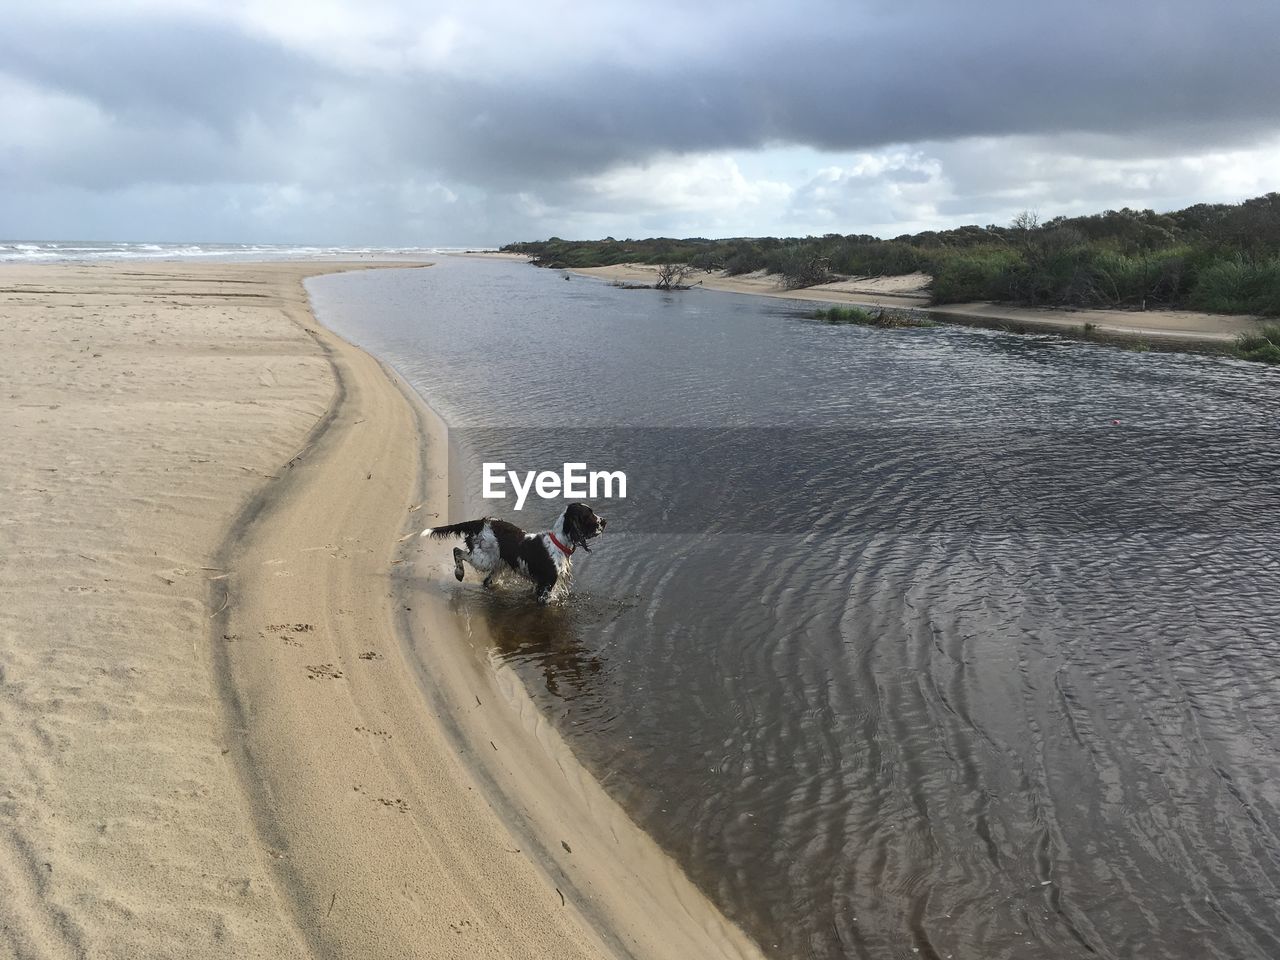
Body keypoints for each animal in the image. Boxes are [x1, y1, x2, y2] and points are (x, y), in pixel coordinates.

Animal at [414, 499, 604, 604]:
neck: (558, 543)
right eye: (589, 515)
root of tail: (481, 522)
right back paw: (459, 573)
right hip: (483, 559)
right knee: (457, 551)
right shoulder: (545, 587)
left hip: (498, 565)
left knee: (486, 581)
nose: (605, 521)